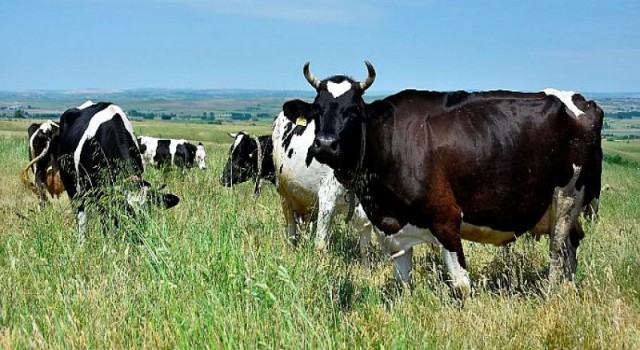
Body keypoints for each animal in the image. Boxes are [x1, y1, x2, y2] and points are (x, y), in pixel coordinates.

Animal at [54, 101, 179, 242]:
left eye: (147, 209)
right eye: (126, 209)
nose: (138, 237)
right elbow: (105, 224)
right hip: (73, 187)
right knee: (80, 216)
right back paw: (82, 242)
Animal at [284, 61, 604, 296]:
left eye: (352, 111)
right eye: (317, 110)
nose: (325, 144)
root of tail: (584, 101)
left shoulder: (446, 220)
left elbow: (461, 286)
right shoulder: (394, 230)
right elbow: (403, 284)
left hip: (567, 198)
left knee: (557, 253)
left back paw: (551, 294)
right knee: (572, 248)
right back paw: (569, 291)